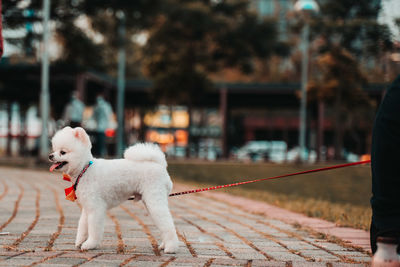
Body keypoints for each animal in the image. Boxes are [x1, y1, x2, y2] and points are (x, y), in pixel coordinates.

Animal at [48, 127, 178, 253]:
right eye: (54, 150)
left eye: (63, 152)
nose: (50, 155)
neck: (84, 169)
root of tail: (160, 165)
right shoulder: (87, 207)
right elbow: (83, 226)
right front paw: (80, 242)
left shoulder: (96, 208)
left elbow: (93, 228)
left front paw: (90, 244)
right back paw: (164, 245)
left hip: (154, 200)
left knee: (168, 224)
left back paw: (171, 247)